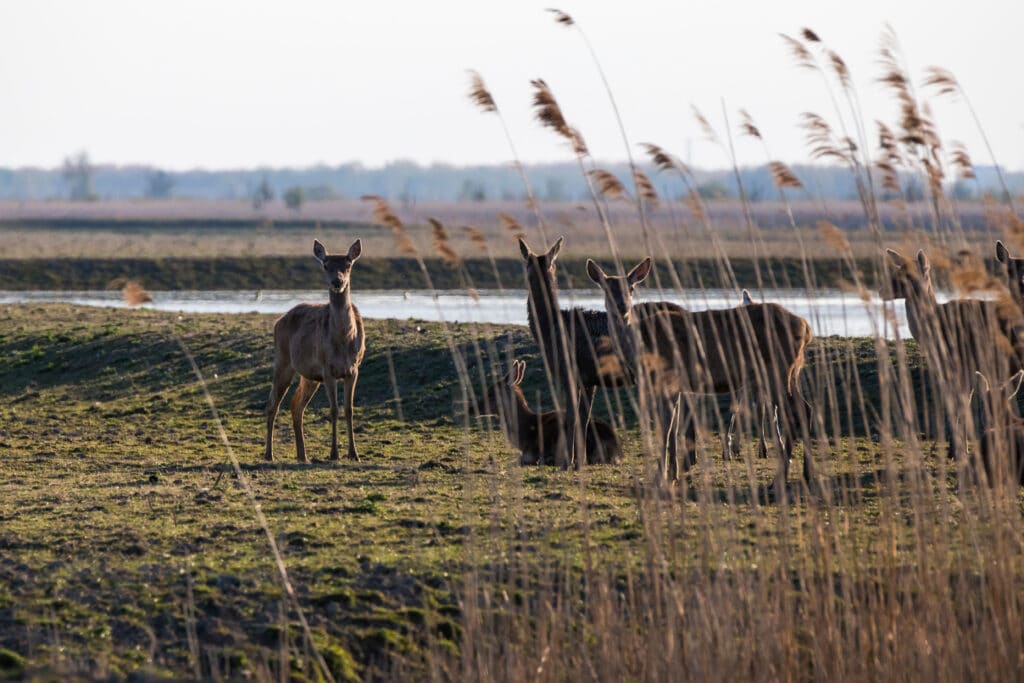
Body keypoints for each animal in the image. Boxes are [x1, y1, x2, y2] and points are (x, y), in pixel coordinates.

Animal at [262, 237, 366, 462]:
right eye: (325, 265)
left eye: (348, 264)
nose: (337, 282)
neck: (344, 341)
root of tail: (278, 321)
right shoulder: (327, 369)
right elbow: (334, 409)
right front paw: (334, 454)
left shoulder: (354, 369)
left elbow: (349, 409)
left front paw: (354, 454)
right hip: (283, 361)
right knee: (273, 403)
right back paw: (269, 454)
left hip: (309, 375)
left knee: (295, 405)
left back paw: (303, 456)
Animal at [585, 255, 815, 485]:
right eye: (606, 287)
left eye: (631, 287)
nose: (622, 306)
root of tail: (806, 327)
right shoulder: (675, 386)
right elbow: (673, 428)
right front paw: (673, 473)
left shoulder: (667, 378)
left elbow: (666, 428)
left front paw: (661, 477)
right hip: (792, 371)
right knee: (806, 409)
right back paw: (805, 473)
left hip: (776, 368)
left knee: (794, 413)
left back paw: (781, 476)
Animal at [880, 248, 1024, 462]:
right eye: (897, 269)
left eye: (909, 275)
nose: (881, 291)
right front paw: (954, 450)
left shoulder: (963, 363)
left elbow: (961, 402)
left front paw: (960, 452)